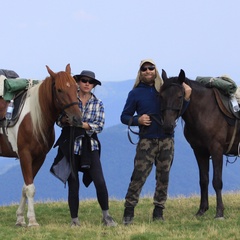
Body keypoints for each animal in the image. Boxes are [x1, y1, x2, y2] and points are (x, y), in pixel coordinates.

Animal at [0, 63, 82, 225]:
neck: (34, 118)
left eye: (76, 88)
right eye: (59, 90)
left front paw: (20, 218)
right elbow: (30, 188)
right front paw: (32, 220)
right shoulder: (25, 154)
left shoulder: (39, 157)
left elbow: (25, 186)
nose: (77, 118)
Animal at [159, 69, 240, 219]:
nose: (167, 126)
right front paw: (202, 210)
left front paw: (219, 212)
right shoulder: (199, 151)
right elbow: (204, 180)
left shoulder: (216, 149)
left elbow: (217, 181)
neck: (205, 110)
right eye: (160, 96)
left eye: (180, 96)